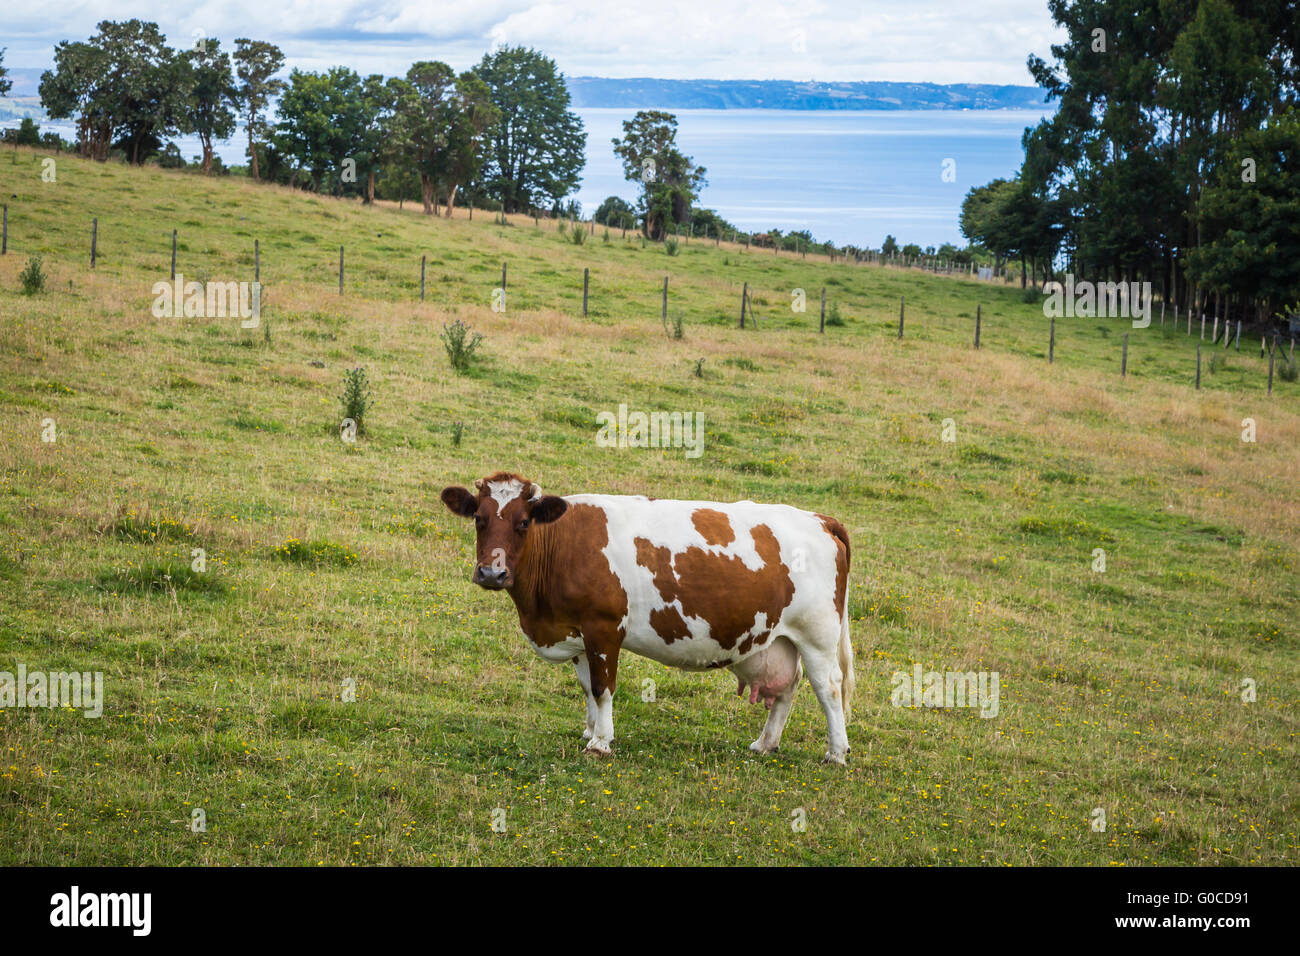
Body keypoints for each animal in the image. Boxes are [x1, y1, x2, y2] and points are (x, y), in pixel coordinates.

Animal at [441, 470, 857, 764]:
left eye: (524, 522)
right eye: (478, 518)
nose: (491, 573)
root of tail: (820, 518)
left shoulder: (604, 627)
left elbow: (602, 686)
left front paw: (601, 742)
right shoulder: (577, 632)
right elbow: (586, 687)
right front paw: (589, 731)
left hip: (817, 634)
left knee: (829, 687)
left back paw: (836, 752)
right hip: (781, 638)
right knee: (788, 686)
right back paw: (765, 743)